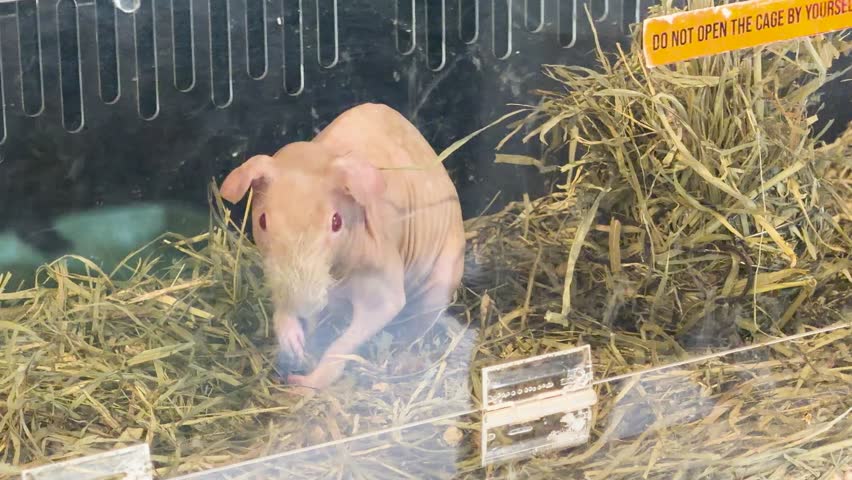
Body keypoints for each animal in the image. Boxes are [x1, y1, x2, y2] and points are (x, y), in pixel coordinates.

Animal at [219, 103, 466, 390]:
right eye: (262, 221)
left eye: (336, 222)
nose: (305, 305)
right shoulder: (277, 275)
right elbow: (283, 305)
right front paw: (292, 341)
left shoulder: (380, 271)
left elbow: (377, 312)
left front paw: (307, 383)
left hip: (440, 282)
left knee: (415, 327)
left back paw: (403, 360)